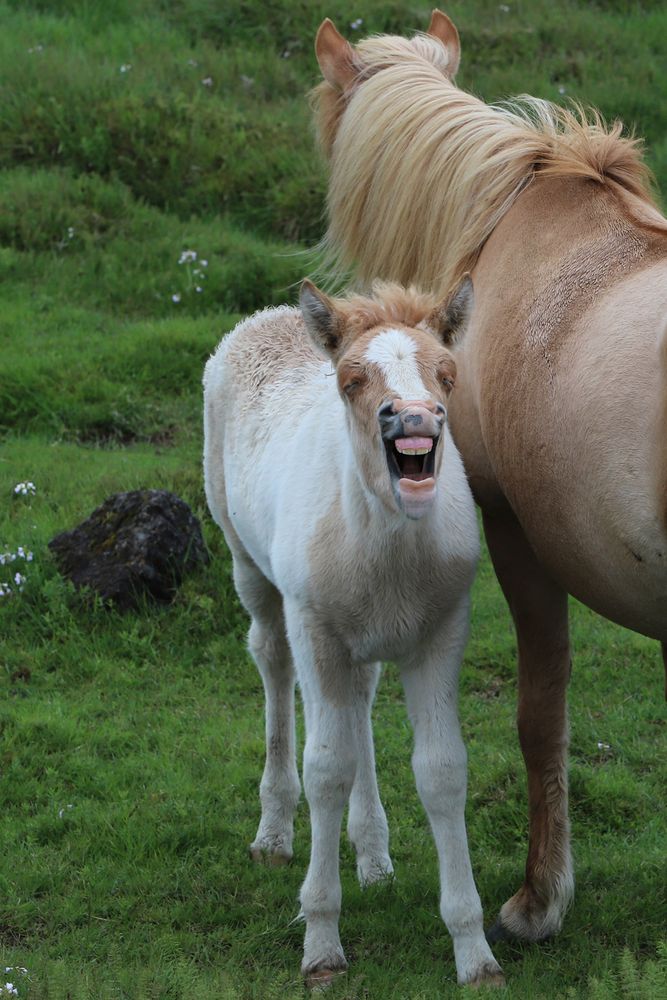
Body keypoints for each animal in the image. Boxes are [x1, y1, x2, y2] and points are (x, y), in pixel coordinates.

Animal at [201, 278, 504, 988]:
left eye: (447, 374)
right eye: (351, 381)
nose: (414, 418)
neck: (389, 550)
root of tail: (269, 316)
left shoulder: (442, 631)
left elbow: (442, 770)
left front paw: (475, 953)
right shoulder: (315, 626)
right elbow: (327, 769)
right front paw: (320, 943)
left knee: (360, 696)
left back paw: (374, 856)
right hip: (249, 564)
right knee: (272, 663)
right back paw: (275, 833)